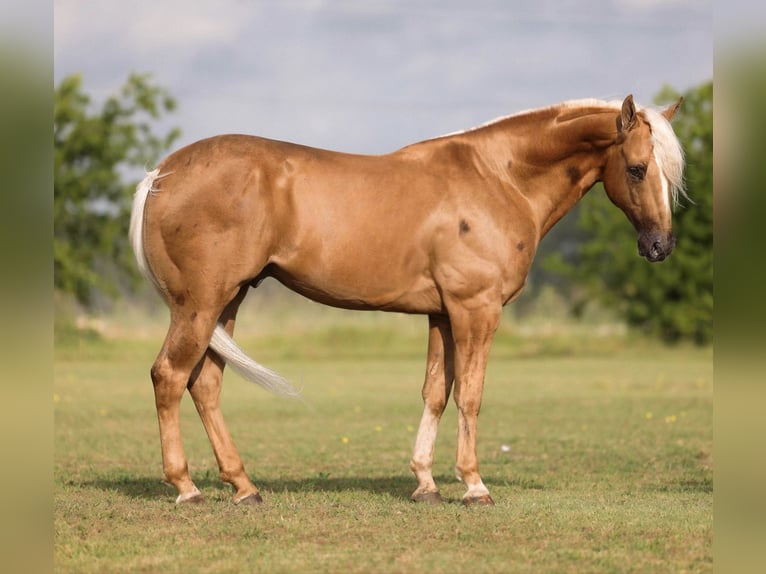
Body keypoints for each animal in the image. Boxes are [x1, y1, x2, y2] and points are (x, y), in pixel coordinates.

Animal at [129, 94, 685, 506]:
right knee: (169, 376)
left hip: (227, 302)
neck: (499, 177)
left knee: (205, 385)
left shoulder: (442, 314)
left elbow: (436, 392)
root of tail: (162, 173)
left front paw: (426, 483)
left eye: (669, 174)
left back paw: (244, 487)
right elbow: (470, 395)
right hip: (200, 304)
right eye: (637, 169)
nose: (660, 246)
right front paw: (474, 485)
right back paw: (187, 488)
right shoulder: (475, 309)